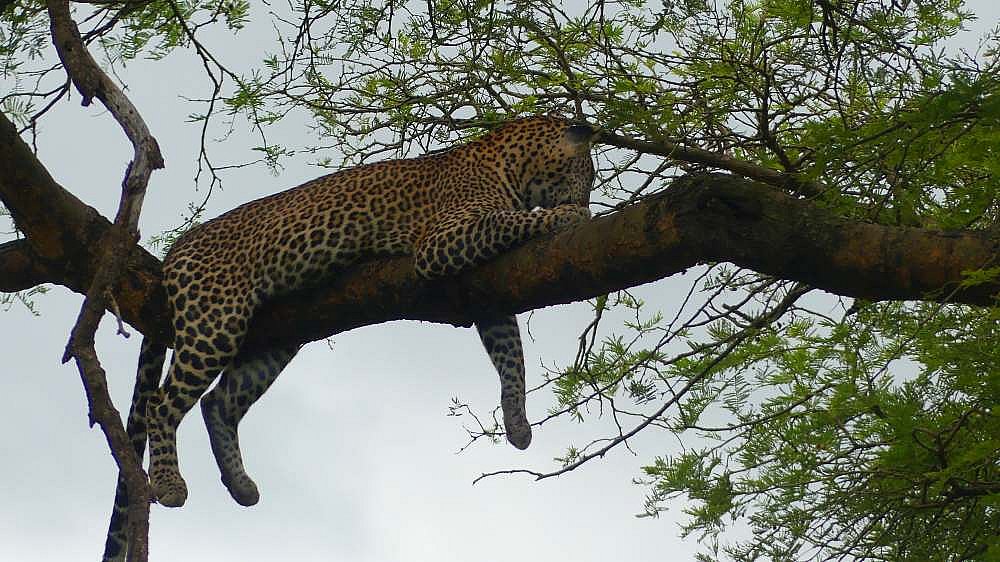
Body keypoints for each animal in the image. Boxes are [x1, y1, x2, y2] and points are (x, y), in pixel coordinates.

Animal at [102, 115, 597, 561]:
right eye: (589, 176)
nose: (589, 202)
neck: (512, 165)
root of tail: (176, 248)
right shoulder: (443, 240)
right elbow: (508, 222)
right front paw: (566, 214)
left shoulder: (487, 290)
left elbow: (511, 355)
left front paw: (517, 423)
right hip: (214, 321)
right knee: (161, 402)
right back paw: (169, 484)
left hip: (274, 337)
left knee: (218, 402)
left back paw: (241, 486)